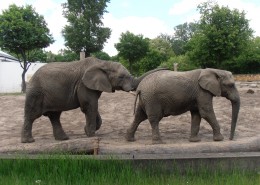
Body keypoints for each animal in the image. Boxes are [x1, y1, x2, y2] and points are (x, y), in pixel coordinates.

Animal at [21, 56, 165, 143]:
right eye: (121, 77)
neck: (103, 63)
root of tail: (31, 77)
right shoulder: (83, 85)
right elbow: (89, 105)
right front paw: (91, 135)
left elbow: (92, 107)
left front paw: (87, 131)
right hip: (36, 93)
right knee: (32, 115)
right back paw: (29, 141)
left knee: (54, 116)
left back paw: (63, 139)